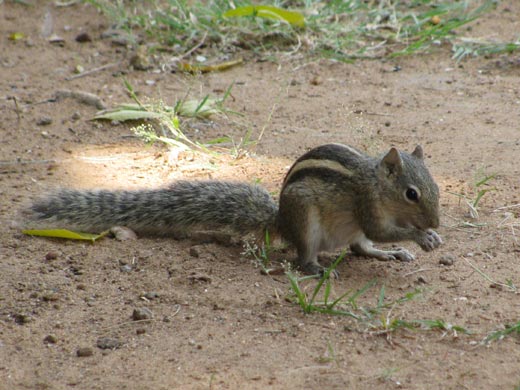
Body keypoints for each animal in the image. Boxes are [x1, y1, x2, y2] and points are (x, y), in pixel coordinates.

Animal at [25, 143, 442, 274]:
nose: (437, 220)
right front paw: (422, 237)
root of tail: (281, 221)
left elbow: (376, 239)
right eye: (411, 194)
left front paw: (423, 238)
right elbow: (380, 230)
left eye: (436, 186)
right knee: (305, 254)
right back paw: (317, 269)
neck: (376, 182)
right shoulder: (368, 207)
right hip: (307, 222)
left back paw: (390, 255)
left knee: (360, 247)